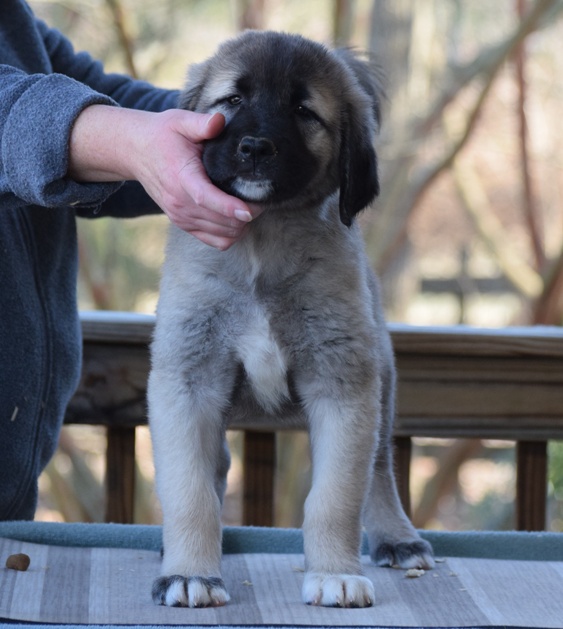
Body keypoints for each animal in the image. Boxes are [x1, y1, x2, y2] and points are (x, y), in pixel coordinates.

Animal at [148, 30, 434, 609]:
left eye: (304, 111)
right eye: (233, 99)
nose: (256, 148)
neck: (261, 239)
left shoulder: (342, 384)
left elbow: (336, 497)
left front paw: (333, 574)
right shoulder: (186, 378)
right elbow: (190, 491)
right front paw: (190, 572)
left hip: (381, 378)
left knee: (379, 471)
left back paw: (397, 537)